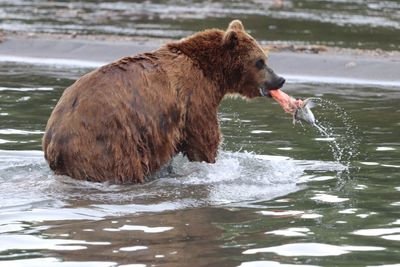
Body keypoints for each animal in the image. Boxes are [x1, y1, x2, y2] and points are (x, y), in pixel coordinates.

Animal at [42, 20, 286, 184]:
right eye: (260, 61)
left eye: (266, 59)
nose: (280, 79)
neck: (211, 71)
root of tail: (54, 140)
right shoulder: (194, 98)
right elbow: (203, 140)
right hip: (107, 144)